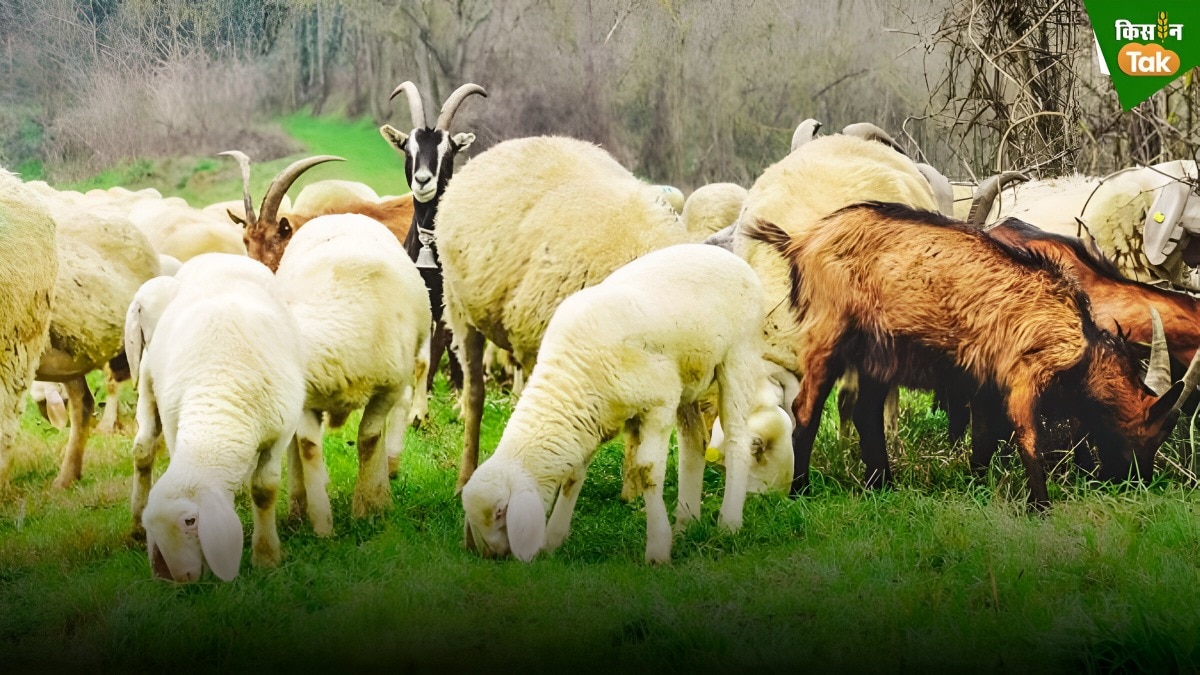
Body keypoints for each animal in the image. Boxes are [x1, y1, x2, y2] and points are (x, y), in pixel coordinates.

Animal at [127, 253, 306, 582]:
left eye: (190, 521)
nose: (179, 580)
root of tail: (218, 255)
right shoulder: (175, 426)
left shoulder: (281, 431)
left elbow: (264, 489)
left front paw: (266, 557)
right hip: (148, 383)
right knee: (143, 446)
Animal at [273, 214, 431, 532]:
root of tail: (340, 214)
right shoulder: (307, 399)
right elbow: (308, 445)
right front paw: (321, 525)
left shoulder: (388, 389)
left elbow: (369, 439)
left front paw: (367, 508)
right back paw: (297, 506)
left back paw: (387, 477)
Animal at [461, 244, 763, 563]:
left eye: (500, 513)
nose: (492, 557)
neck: (572, 377)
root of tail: (724, 254)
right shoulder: (589, 420)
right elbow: (572, 476)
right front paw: (553, 540)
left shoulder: (660, 404)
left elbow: (647, 472)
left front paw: (657, 549)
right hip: (689, 379)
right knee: (694, 444)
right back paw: (686, 523)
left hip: (739, 356)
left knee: (737, 440)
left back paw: (729, 523)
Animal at [746, 202, 1197, 510]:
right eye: (1154, 432)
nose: (1137, 482)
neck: (1079, 337)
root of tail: (803, 242)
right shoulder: (1022, 375)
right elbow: (1027, 438)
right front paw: (1040, 506)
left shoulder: (985, 382)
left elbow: (985, 438)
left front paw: (977, 485)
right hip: (829, 335)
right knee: (806, 408)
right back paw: (800, 489)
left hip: (880, 351)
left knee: (866, 414)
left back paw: (883, 485)